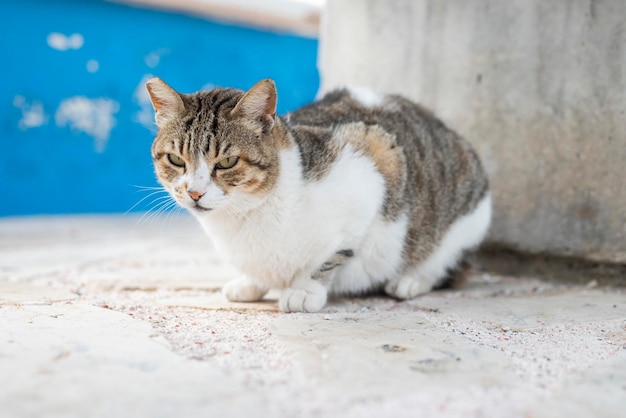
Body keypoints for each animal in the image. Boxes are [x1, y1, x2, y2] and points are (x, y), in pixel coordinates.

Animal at [144, 77, 490, 314]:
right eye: (176, 159)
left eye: (227, 162)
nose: (194, 192)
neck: (245, 217)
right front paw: (251, 282)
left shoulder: (375, 162)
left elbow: (332, 253)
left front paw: (305, 288)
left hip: (465, 219)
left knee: (443, 262)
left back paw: (411, 280)